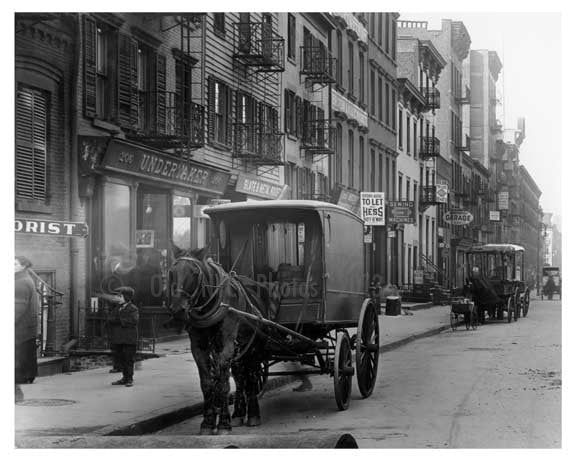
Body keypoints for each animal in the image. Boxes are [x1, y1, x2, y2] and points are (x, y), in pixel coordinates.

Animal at [168, 246, 276, 434]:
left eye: (194, 273)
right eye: (171, 272)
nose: (178, 309)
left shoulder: (226, 345)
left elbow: (223, 384)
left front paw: (224, 423)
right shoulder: (199, 348)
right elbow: (208, 383)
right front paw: (208, 422)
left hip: (253, 347)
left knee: (251, 378)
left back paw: (253, 415)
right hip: (240, 351)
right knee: (241, 378)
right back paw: (239, 414)